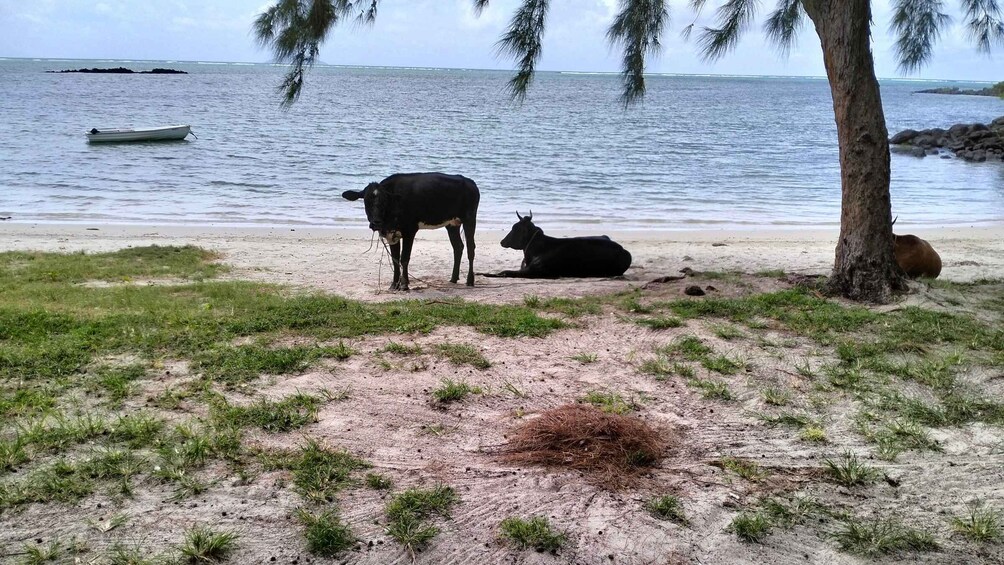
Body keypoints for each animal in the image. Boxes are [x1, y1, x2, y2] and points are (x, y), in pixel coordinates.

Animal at [343, 172, 479, 289]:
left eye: (384, 201)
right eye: (366, 201)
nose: (376, 222)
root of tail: (470, 182)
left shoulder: (410, 230)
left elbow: (404, 258)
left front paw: (404, 285)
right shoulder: (391, 234)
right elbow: (395, 259)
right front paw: (394, 284)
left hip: (470, 218)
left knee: (470, 248)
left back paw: (470, 280)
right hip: (452, 224)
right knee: (458, 247)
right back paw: (453, 279)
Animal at [481, 212, 630, 278]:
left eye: (515, 228)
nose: (502, 241)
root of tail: (623, 250)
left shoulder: (534, 271)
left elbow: (505, 272)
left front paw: (486, 274)